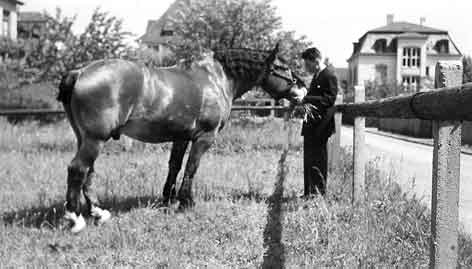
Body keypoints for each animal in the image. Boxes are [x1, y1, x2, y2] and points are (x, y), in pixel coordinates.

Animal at [58, 43, 306, 230]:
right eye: (282, 67)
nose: (302, 89)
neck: (216, 79)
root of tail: (79, 73)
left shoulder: (181, 137)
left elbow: (174, 166)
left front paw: (168, 199)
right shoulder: (204, 138)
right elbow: (191, 167)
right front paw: (186, 202)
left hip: (85, 138)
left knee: (88, 171)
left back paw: (98, 212)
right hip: (95, 139)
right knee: (78, 169)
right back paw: (75, 218)